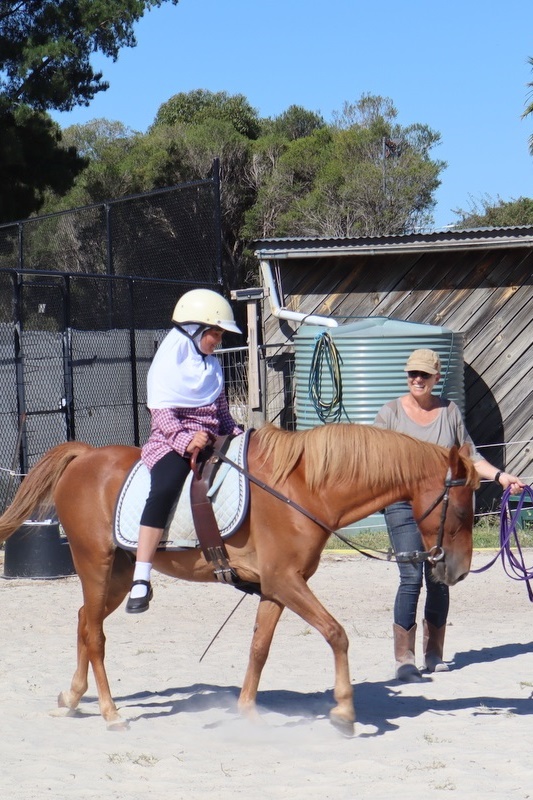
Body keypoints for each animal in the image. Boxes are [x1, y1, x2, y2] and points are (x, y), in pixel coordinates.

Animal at [0, 422, 478, 736]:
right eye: (458, 510)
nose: (457, 570)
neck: (303, 489)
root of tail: (85, 455)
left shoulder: (276, 588)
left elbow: (259, 647)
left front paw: (247, 711)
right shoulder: (287, 582)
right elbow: (336, 633)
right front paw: (343, 712)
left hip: (116, 574)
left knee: (86, 620)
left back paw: (72, 698)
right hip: (95, 565)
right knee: (96, 634)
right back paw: (109, 711)